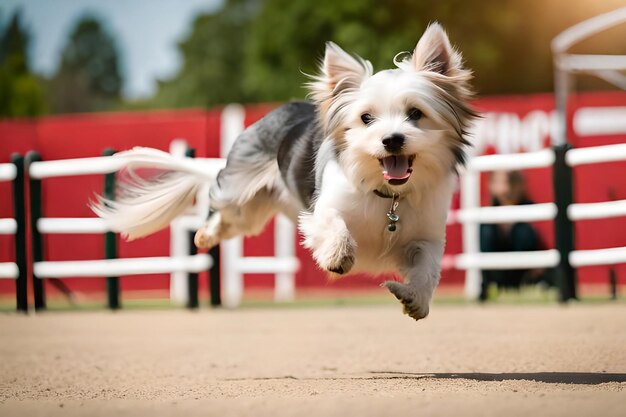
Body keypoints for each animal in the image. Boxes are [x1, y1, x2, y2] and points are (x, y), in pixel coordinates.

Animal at [91, 24, 472, 320]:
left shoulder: (423, 235)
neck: (388, 194)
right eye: (366, 118)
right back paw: (205, 235)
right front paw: (338, 255)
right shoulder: (322, 210)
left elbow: (428, 267)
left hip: (254, 213)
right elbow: (335, 224)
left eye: (416, 114)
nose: (392, 140)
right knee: (221, 210)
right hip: (241, 194)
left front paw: (414, 299)